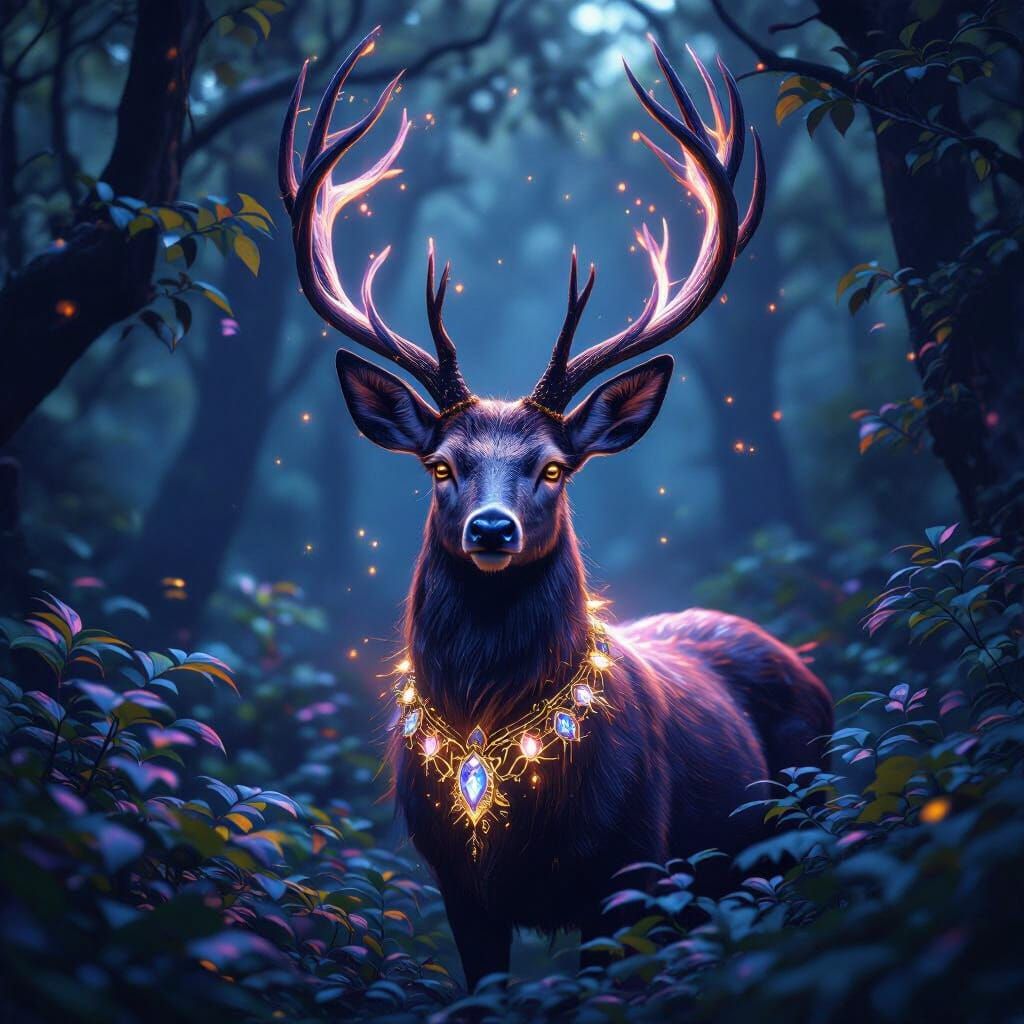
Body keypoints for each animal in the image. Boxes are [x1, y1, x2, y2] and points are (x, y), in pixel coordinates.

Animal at [279, 28, 833, 988]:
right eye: (440, 465)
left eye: (552, 469)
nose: (490, 528)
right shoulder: (456, 886)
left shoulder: (635, 866)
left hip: (796, 831)